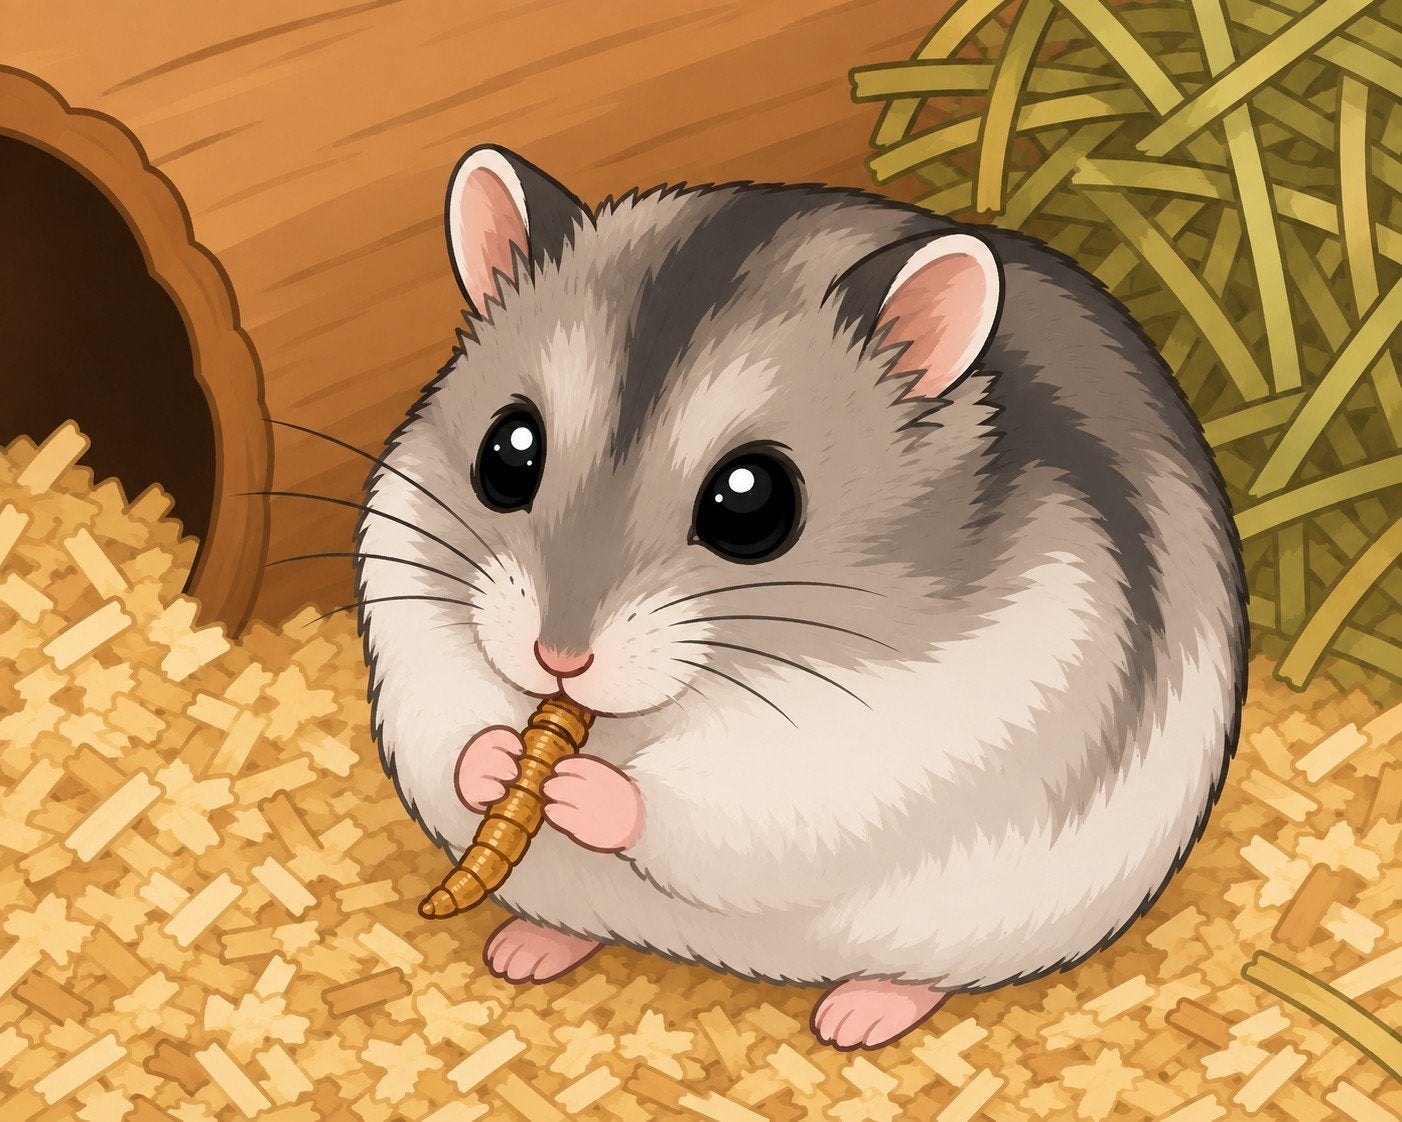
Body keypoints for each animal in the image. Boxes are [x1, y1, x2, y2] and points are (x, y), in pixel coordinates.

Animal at [356, 145, 1248, 1050]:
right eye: (508, 452)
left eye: (751, 503)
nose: (557, 659)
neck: (637, 719)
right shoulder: (410, 624)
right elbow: (450, 732)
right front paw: (498, 759)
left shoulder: (880, 741)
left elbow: (710, 799)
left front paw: (578, 787)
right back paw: (523, 950)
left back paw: (854, 1017)